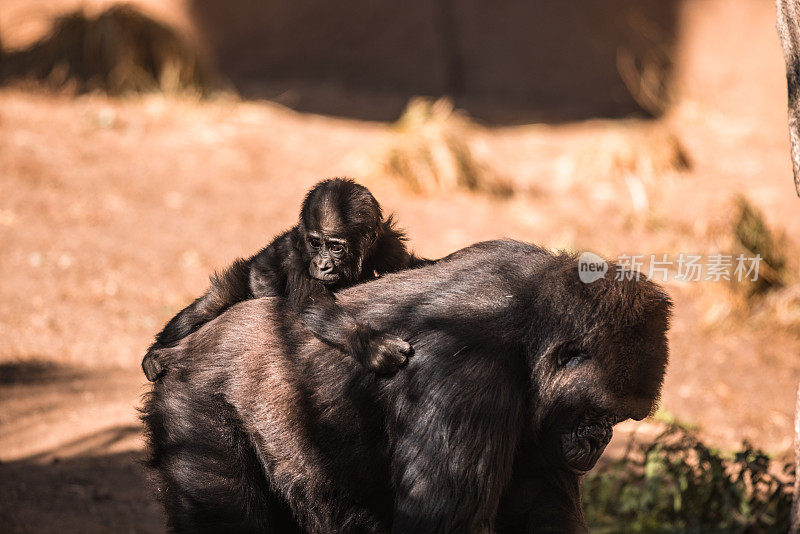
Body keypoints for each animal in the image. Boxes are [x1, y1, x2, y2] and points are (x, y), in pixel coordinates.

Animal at [142, 179, 432, 382]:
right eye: (315, 243)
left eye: (335, 247)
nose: (322, 265)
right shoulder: (297, 258)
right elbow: (314, 304)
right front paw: (370, 345)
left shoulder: (389, 245)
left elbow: (408, 263)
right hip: (244, 274)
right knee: (210, 304)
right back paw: (156, 351)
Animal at [142, 242, 668, 534]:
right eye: (598, 414)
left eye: (619, 419)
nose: (599, 441)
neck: (531, 329)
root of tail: (178, 353)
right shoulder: (469, 378)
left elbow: (542, 504)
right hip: (194, 404)